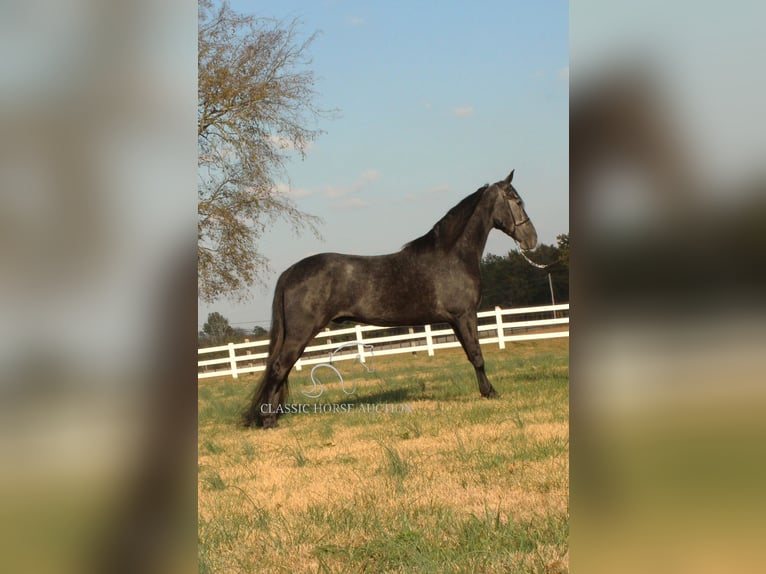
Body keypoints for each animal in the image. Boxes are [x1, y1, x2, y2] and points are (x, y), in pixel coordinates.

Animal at [244, 169, 540, 430]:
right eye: (516, 201)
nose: (532, 239)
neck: (452, 256)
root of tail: (290, 272)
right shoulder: (464, 315)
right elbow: (477, 355)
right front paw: (490, 392)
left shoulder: (455, 320)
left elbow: (471, 354)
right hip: (300, 333)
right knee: (279, 368)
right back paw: (268, 420)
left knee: (280, 369)